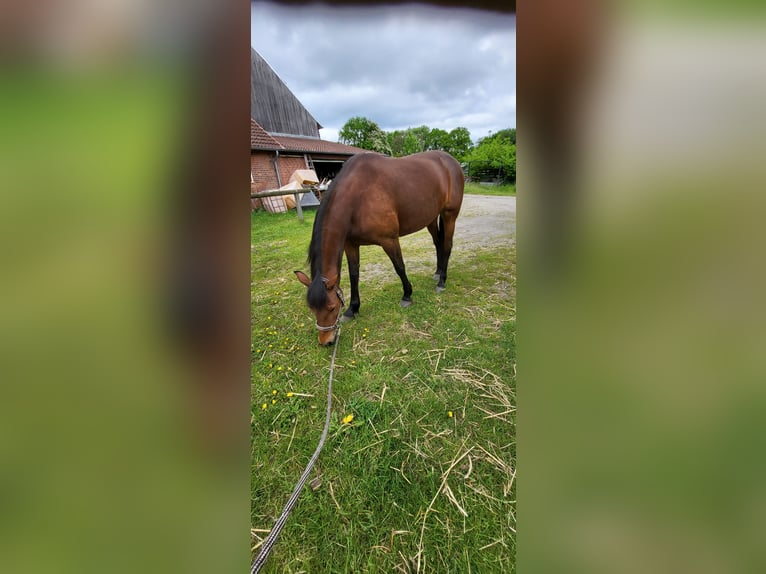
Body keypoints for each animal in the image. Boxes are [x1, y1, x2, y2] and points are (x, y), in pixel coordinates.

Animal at [294, 150, 464, 346]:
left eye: (331, 307)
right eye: (312, 309)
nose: (326, 341)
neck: (357, 197)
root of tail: (451, 161)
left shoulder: (389, 240)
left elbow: (399, 267)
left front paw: (407, 295)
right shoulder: (351, 244)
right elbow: (354, 275)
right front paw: (352, 309)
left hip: (449, 215)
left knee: (447, 246)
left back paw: (441, 282)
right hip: (430, 217)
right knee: (438, 244)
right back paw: (437, 272)